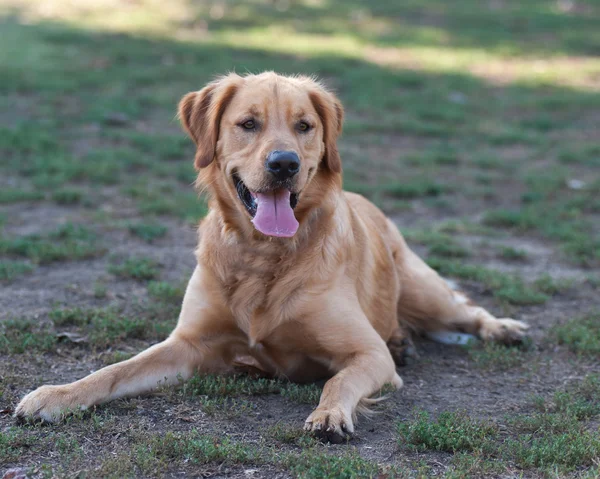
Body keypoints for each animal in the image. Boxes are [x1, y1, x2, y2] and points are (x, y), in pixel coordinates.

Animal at [15, 70, 524, 442]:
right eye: (248, 124)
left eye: (304, 126)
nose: (284, 163)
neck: (264, 254)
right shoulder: (187, 344)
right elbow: (115, 370)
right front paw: (56, 395)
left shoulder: (368, 353)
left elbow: (338, 380)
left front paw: (330, 415)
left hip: (422, 290)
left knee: (465, 309)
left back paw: (502, 328)